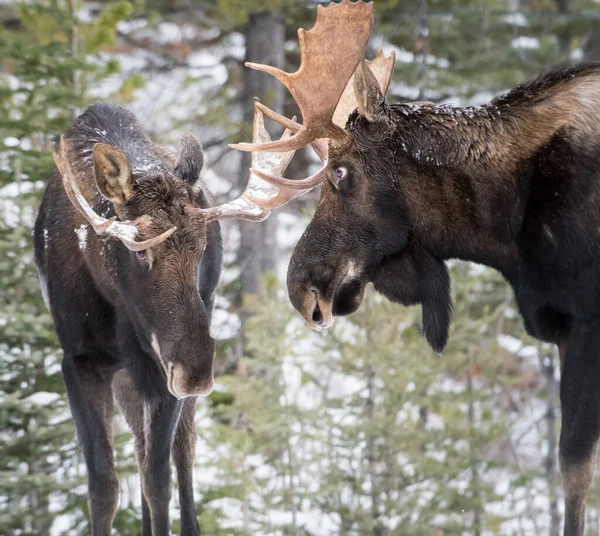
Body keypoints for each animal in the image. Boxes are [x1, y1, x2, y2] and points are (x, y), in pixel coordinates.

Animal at [33, 102, 304, 532]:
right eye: (140, 249)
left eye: (201, 246)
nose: (196, 374)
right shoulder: (79, 360)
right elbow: (103, 488)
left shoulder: (162, 370)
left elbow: (158, 481)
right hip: (133, 375)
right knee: (141, 450)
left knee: (181, 454)